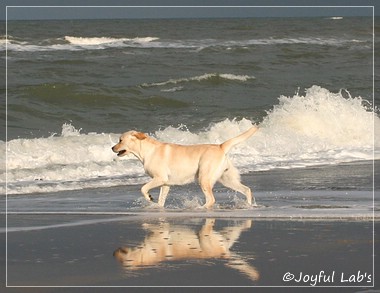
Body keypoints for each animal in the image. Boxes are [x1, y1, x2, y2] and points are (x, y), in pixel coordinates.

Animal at [110, 125, 258, 208]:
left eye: (120, 140)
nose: (112, 148)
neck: (146, 151)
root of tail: (220, 146)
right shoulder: (165, 184)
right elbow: (161, 200)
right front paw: (157, 206)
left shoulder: (160, 178)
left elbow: (143, 188)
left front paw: (149, 198)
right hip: (227, 179)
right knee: (247, 190)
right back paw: (248, 205)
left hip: (203, 178)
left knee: (211, 199)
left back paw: (199, 208)